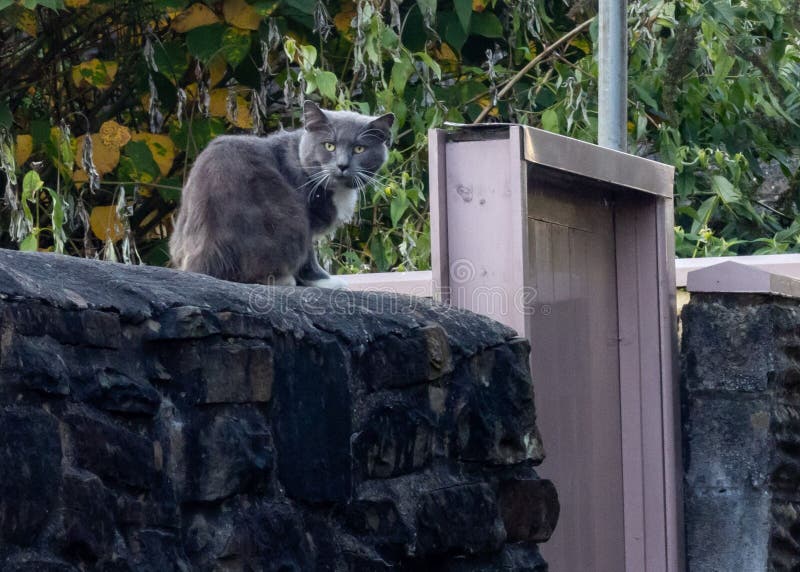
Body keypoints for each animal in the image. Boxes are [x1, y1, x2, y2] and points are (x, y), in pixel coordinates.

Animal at [169, 101, 394, 288]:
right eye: (329, 145)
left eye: (359, 149)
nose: (342, 165)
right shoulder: (306, 219)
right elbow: (309, 257)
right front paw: (324, 281)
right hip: (290, 220)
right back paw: (285, 279)